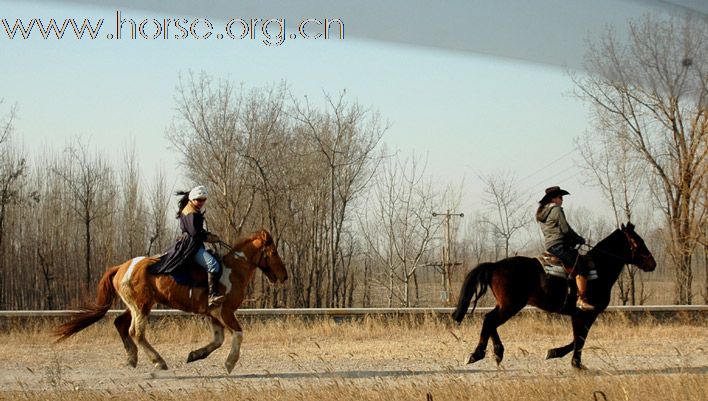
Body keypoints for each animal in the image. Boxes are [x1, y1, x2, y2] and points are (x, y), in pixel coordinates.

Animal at [55, 228, 288, 372]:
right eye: (274, 252)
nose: (284, 275)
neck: (232, 270)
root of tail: (122, 267)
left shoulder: (213, 314)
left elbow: (218, 340)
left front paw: (195, 355)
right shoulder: (224, 312)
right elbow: (238, 334)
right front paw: (230, 363)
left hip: (136, 306)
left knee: (120, 324)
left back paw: (132, 358)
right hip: (141, 307)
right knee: (136, 332)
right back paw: (158, 361)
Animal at [450, 223, 656, 368]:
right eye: (638, 242)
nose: (652, 263)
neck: (598, 269)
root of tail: (494, 265)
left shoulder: (579, 315)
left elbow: (577, 338)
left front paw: (555, 353)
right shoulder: (586, 313)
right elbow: (580, 338)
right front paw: (574, 363)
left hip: (505, 305)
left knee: (489, 320)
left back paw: (497, 353)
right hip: (511, 306)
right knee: (490, 320)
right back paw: (477, 354)